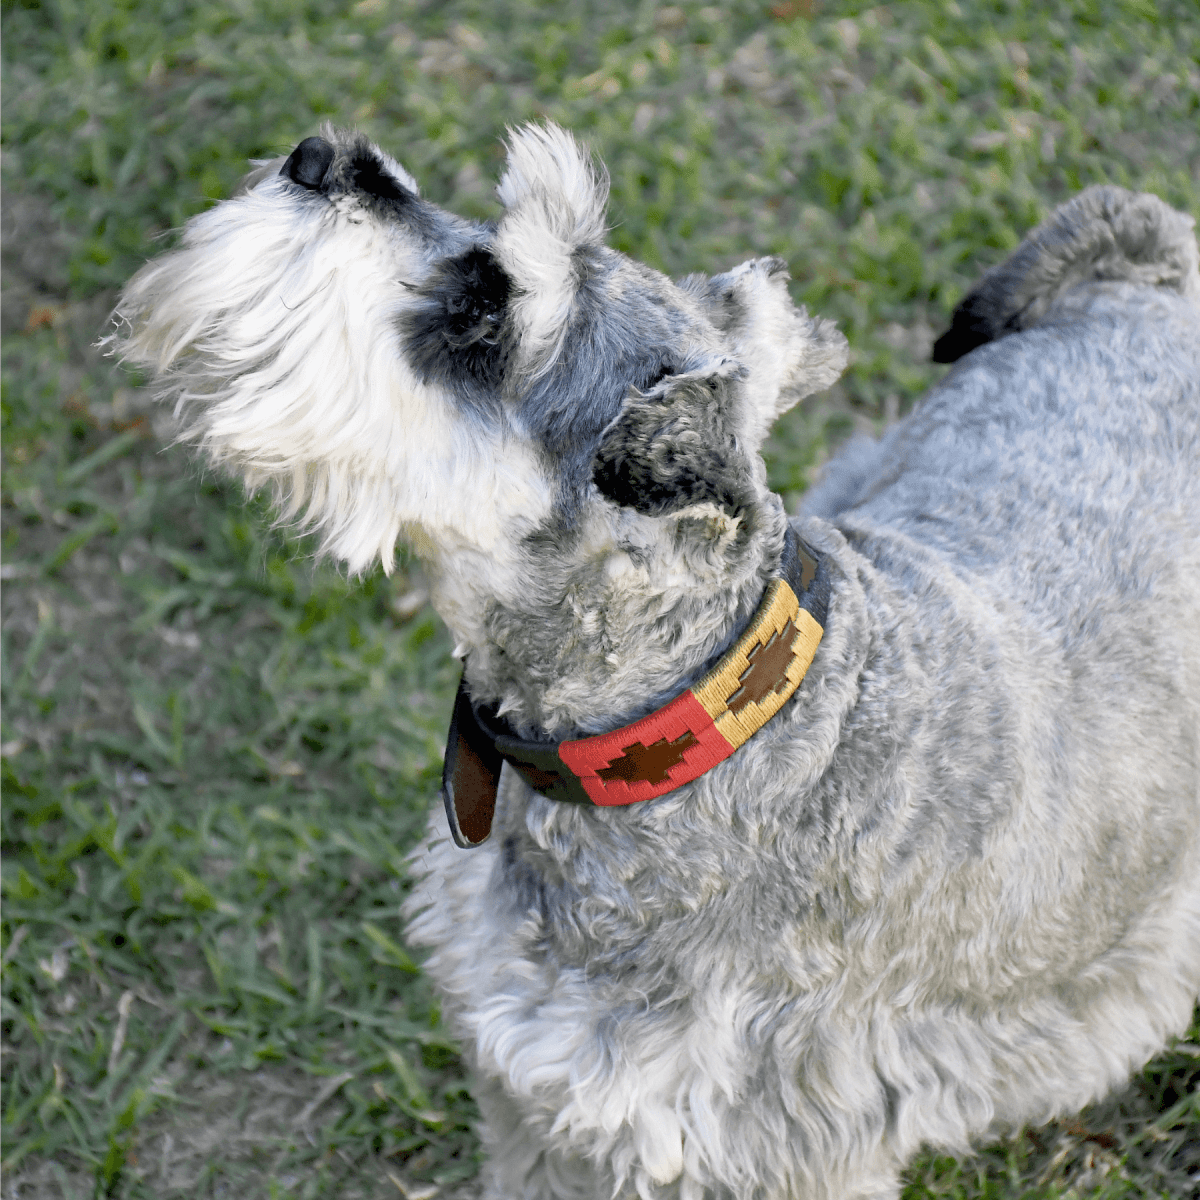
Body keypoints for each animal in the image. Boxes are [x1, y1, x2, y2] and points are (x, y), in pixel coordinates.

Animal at [108, 124, 1195, 1200]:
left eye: (484, 309)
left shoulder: (772, 1145)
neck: (690, 726)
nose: (319, 154)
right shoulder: (532, 1097)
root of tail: (1147, 280)